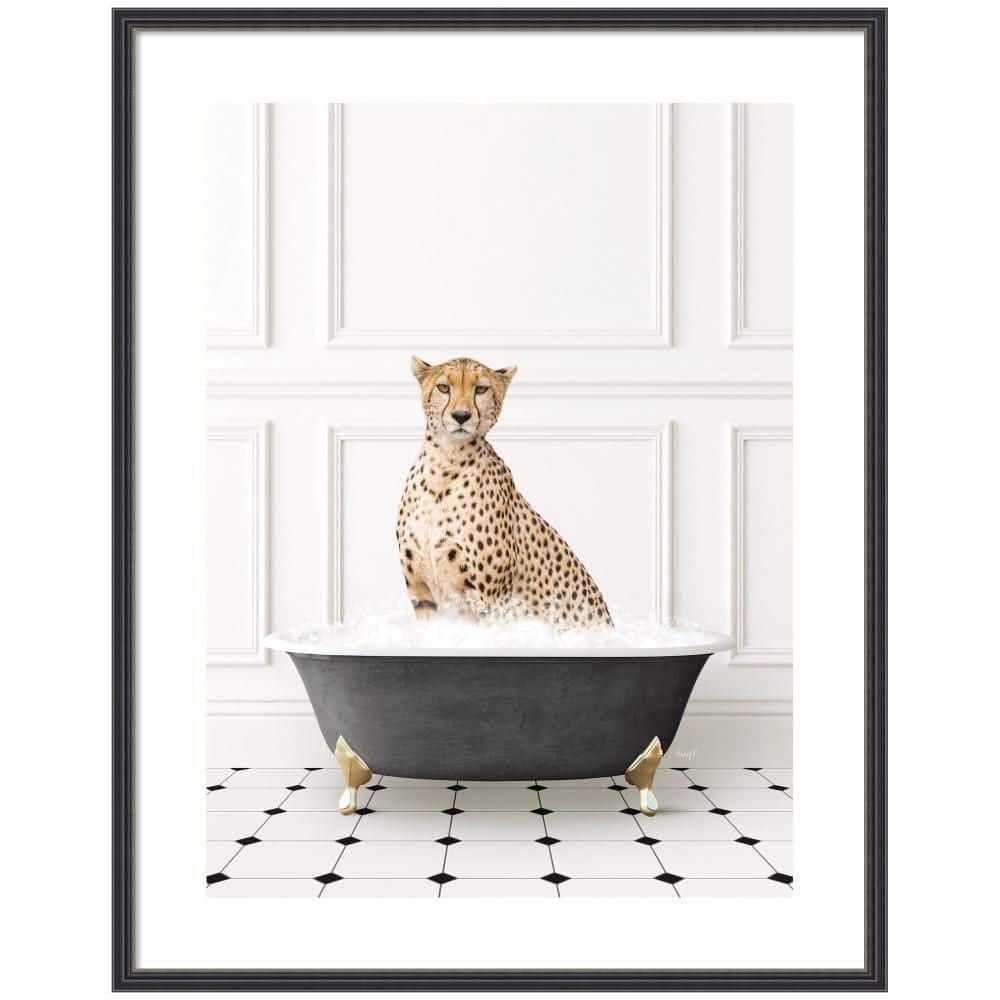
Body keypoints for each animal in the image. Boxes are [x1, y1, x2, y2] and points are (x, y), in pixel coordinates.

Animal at [396, 356, 613, 628]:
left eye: (481, 389)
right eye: (444, 387)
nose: (461, 416)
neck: (445, 464)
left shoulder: (489, 602)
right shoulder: (422, 595)